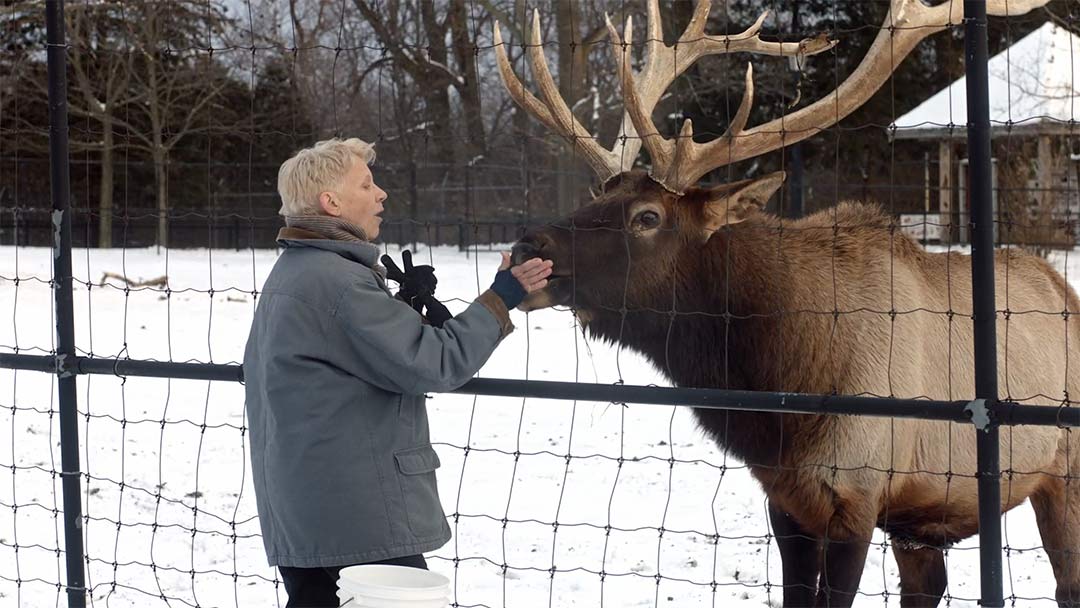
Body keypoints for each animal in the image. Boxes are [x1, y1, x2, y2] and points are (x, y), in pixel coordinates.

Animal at [494, 1, 1071, 608]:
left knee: (1065, 581)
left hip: (1062, 469)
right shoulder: (787, 502)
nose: (527, 248)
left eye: (647, 216)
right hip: (920, 516)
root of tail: (1062, 288)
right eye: (598, 193)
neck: (781, 398)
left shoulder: (855, 497)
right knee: (928, 585)